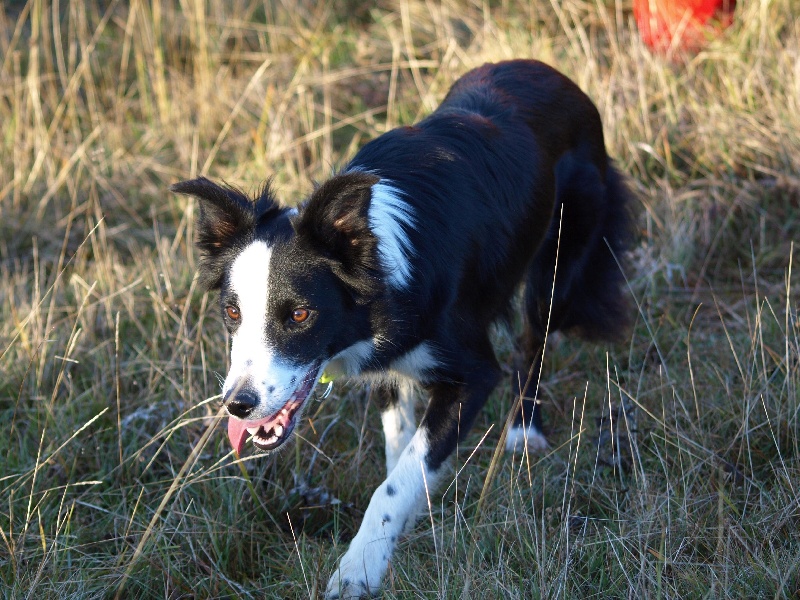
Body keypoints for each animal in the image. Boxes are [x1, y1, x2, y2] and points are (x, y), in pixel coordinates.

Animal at [173, 58, 632, 596]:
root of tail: (551, 72)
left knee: (532, 343)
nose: (238, 405)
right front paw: (402, 528)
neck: (379, 266)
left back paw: (524, 431)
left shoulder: (474, 373)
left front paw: (358, 569)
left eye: (300, 315)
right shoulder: (387, 363)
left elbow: (401, 475)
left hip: (558, 261)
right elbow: (401, 451)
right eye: (232, 312)